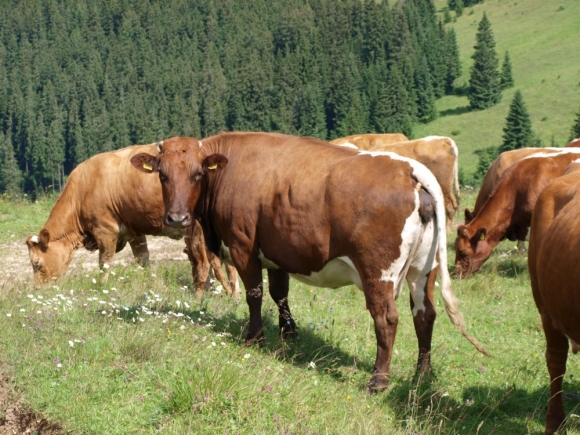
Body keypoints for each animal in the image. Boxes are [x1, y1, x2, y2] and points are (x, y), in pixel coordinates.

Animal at [25, 145, 240, 302]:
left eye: (36, 263)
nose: (37, 290)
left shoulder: (105, 230)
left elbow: (105, 263)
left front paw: (102, 288)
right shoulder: (135, 232)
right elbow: (143, 260)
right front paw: (150, 286)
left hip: (196, 232)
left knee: (205, 264)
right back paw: (233, 295)